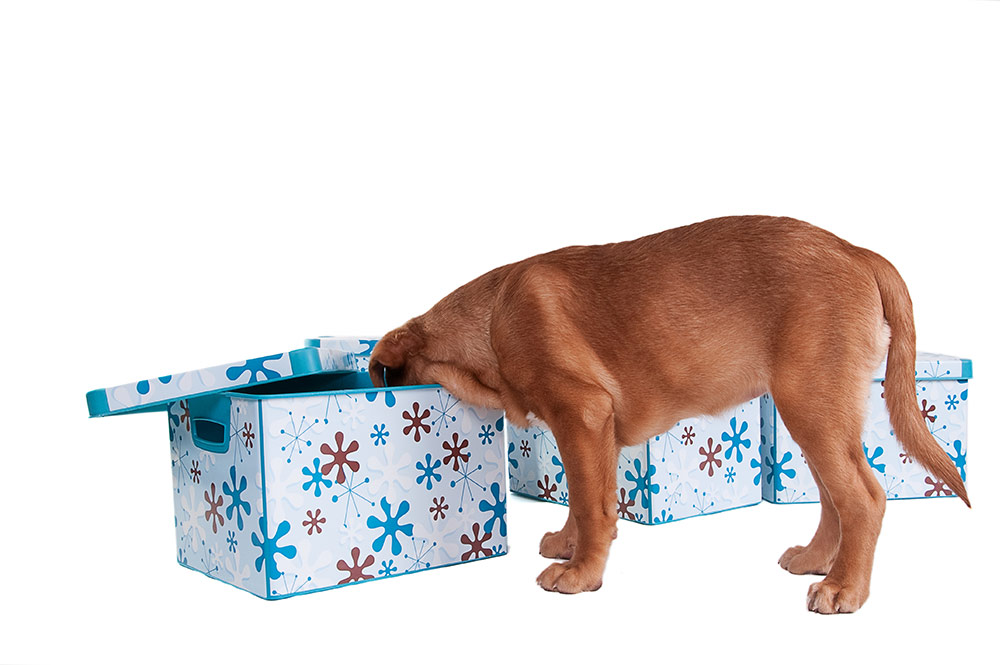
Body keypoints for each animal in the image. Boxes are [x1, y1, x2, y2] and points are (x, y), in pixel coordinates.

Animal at [370, 217, 968, 612]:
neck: (490, 321)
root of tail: (857, 250)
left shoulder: (581, 413)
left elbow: (589, 503)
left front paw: (581, 574)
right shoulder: (596, 432)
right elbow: (587, 497)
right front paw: (569, 544)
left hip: (812, 407)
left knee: (864, 497)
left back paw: (845, 589)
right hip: (816, 411)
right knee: (834, 497)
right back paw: (818, 560)